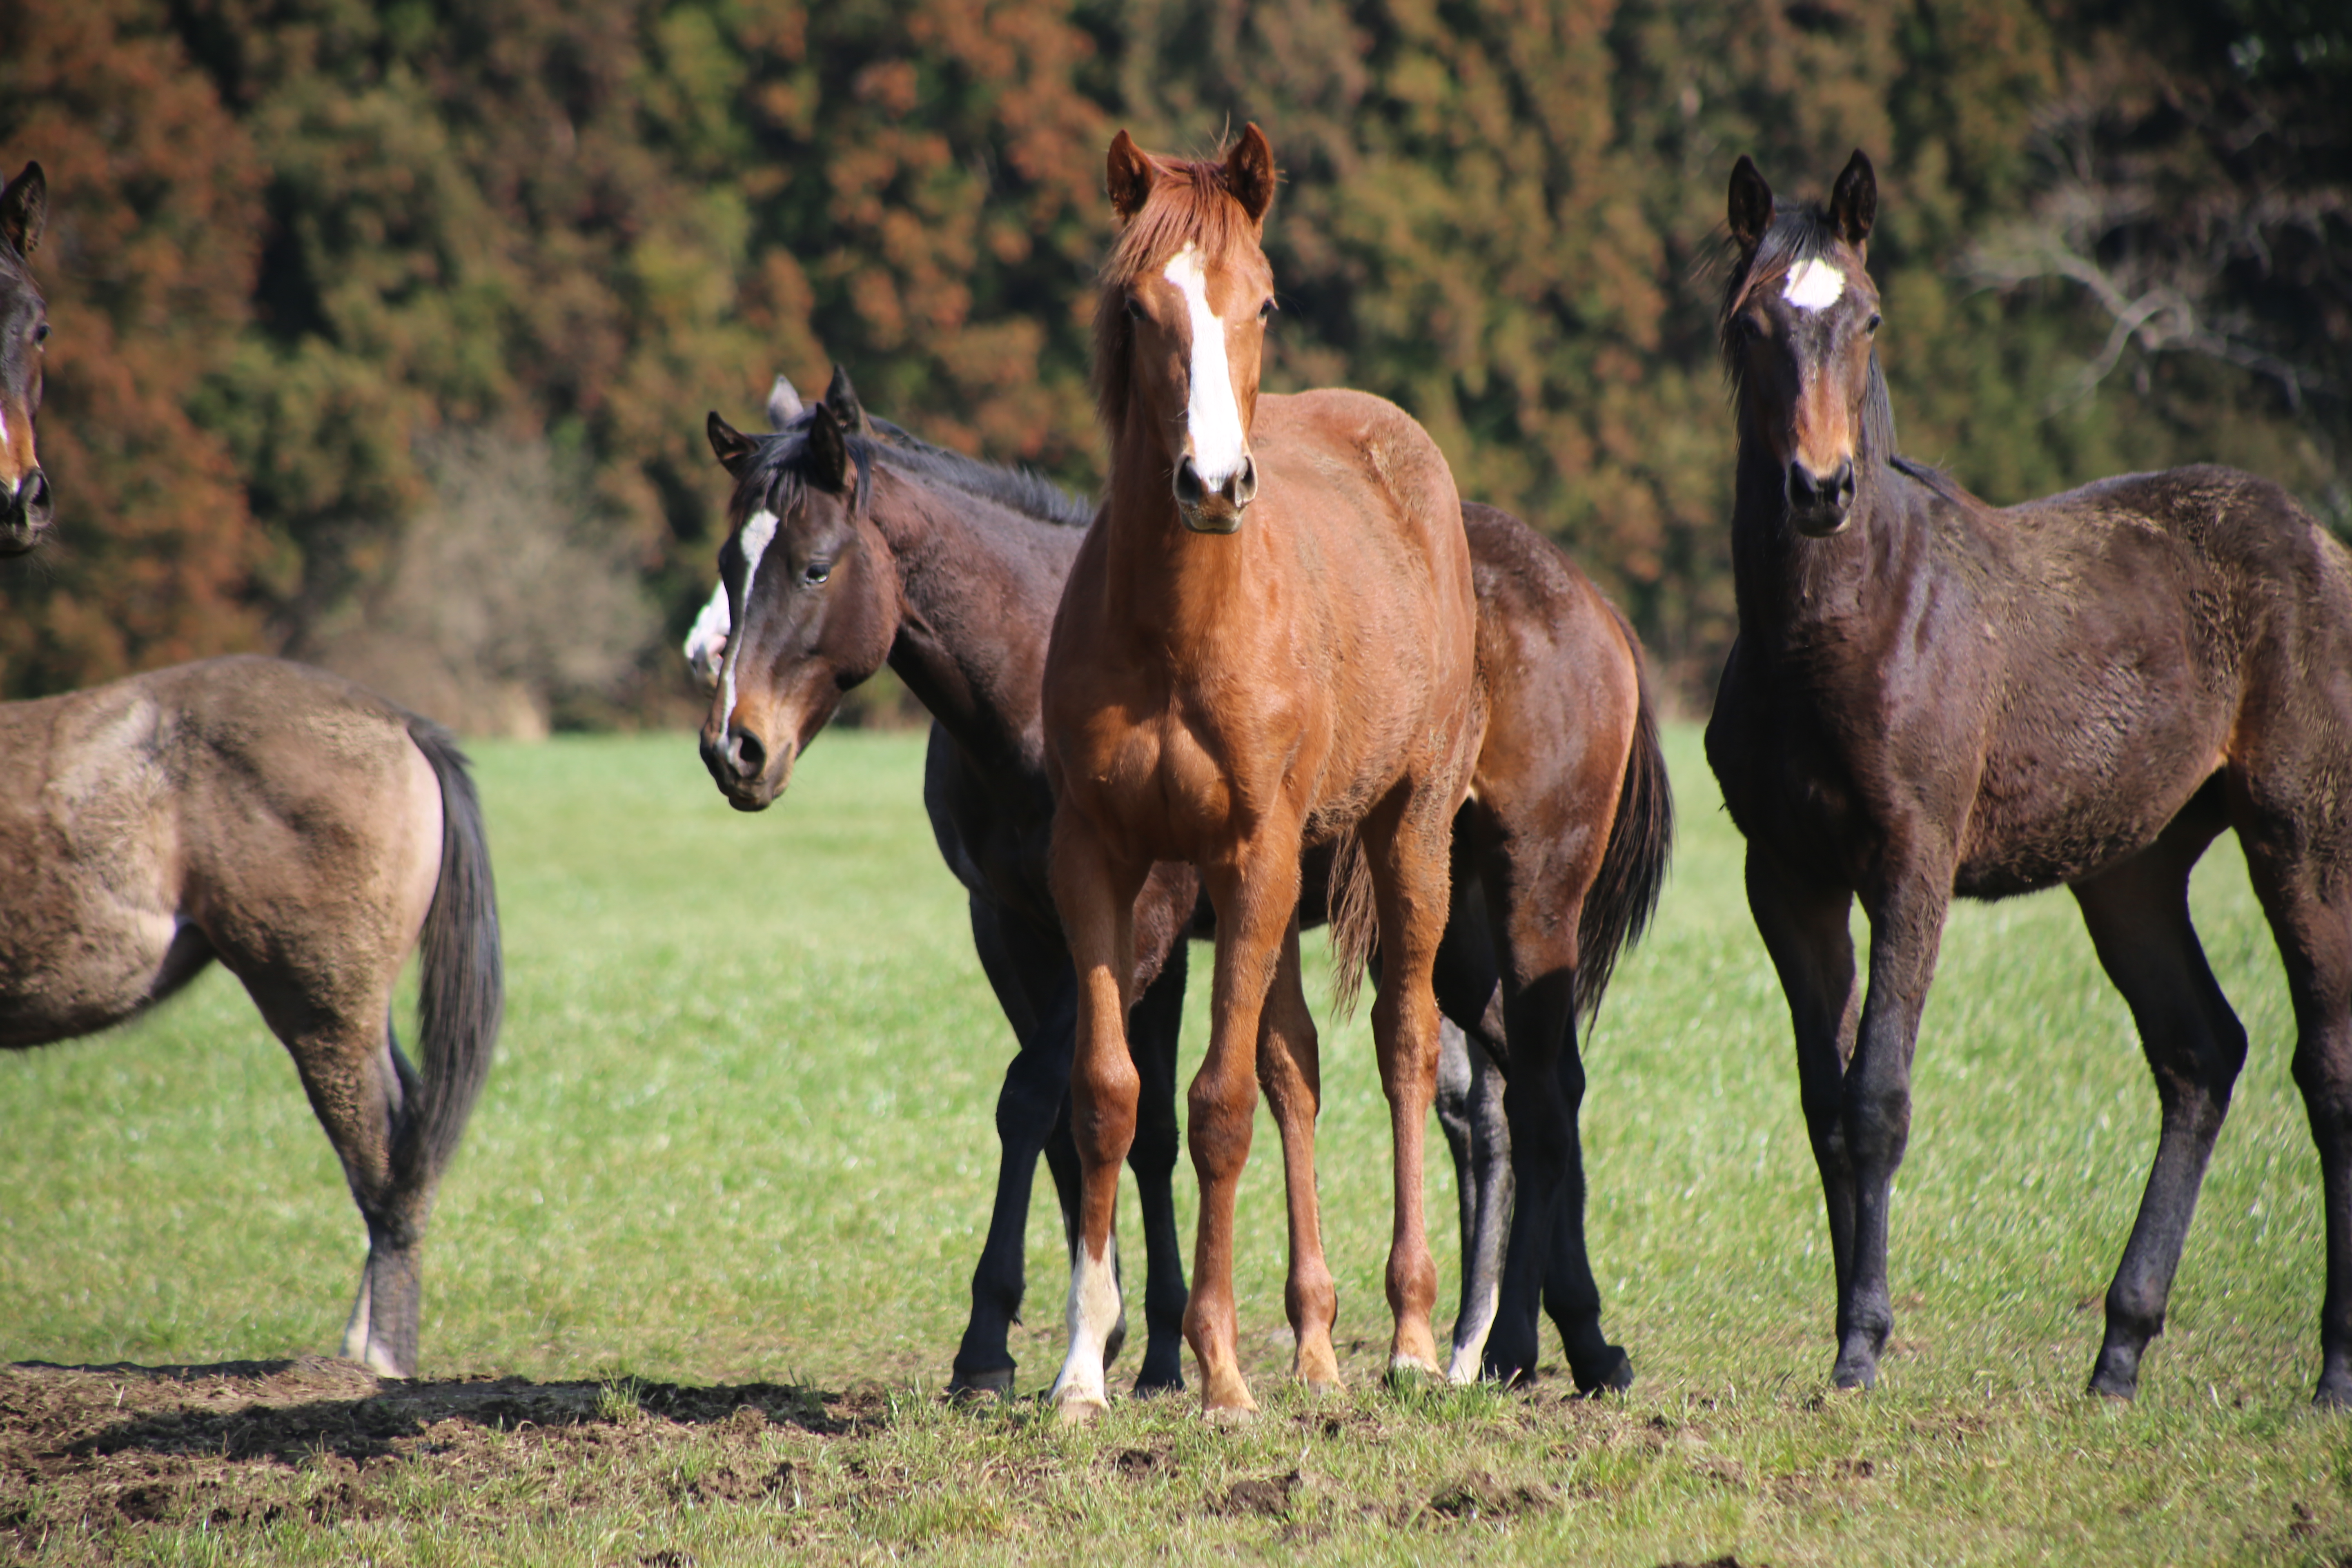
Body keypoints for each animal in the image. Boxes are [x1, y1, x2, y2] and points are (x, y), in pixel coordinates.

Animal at [696, 369, 1675, 1401]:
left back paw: (1550, 1338)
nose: (735, 748)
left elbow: (1033, 1094)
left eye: (813, 567)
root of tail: (1590, 604)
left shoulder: (1146, 929)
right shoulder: (1014, 927)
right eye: (729, 564)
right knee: (1519, 1091)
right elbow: (1122, 1122)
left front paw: (990, 1342)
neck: (1032, 670)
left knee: (1540, 1091)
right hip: (1459, 931)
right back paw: (1540, 1341)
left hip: (1530, 897)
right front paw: (1147, 1342)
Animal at [1039, 129, 1477, 1420]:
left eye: (1266, 301)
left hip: (1404, 834)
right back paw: (1321, 1347)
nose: (1214, 485)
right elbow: (1110, 1094)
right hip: (1290, 879)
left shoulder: (1250, 854)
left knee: (1402, 1045)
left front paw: (1223, 1375)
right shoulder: (1094, 857)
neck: (1177, 631)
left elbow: (1217, 1107)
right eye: (1140, 306)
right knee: (1298, 1068)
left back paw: (1412, 1340)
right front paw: (1083, 1369)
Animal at [1703, 150, 2352, 1410]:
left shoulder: (1911, 863)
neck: (1842, 631)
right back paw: (2118, 1355)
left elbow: (1878, 1099)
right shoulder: (1784, 876)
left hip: (2301, 833)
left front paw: (1863, 1346)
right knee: (2200, 1054)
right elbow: (1823, 1104)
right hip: (2131, 869)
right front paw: (1847, 1337)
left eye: (1867, 317)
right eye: (1751, 325)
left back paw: (2334, 1371)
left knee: (2328, 1066)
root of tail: (2321, 543)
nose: (1819, 488)